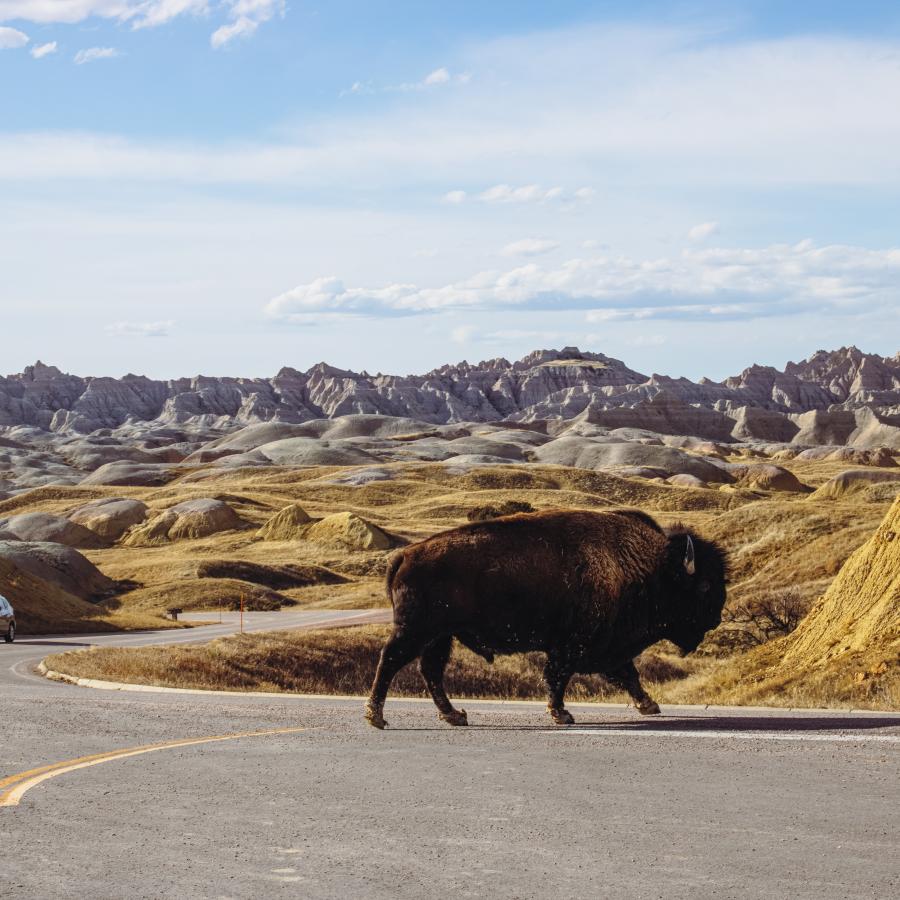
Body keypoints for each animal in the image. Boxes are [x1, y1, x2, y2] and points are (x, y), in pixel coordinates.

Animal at [364, 510, 724, 728]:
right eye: (705, 585)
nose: (716, 618)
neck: (647, 567)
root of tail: (404, 555)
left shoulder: (605, 648)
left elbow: (628, 675)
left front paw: (649, 705)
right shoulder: (573, 647)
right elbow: (558, 676)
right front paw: (561, 714)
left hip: (440, 636)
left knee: (430, 671)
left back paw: (454, 715)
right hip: (417, 630)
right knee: (391, 660)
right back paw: (376, 716)